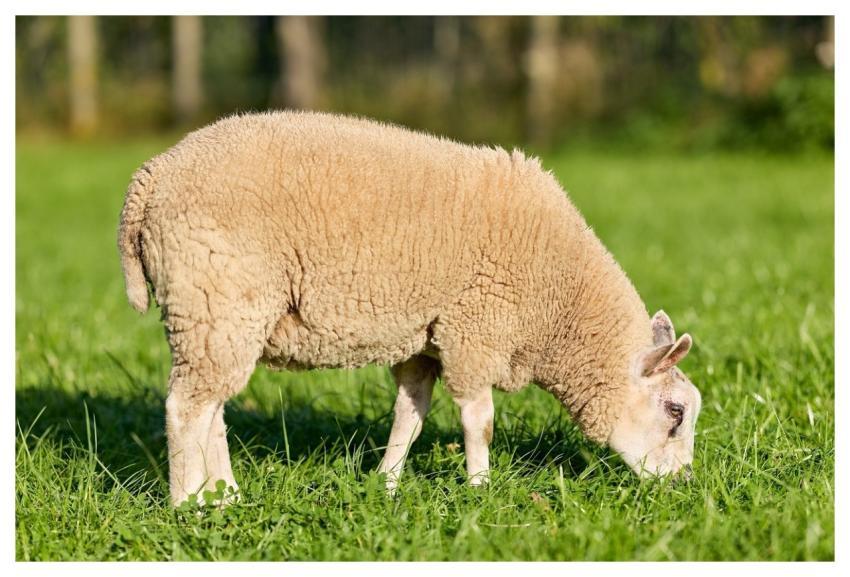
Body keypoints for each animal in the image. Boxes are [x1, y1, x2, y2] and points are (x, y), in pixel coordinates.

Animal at [118, 110, 702, 505]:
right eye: (675, 413)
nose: (685, 486)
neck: (560, 311)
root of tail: (149, 178)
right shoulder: (474, 328)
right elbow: (479, 421)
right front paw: (481, 489)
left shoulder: (425, 339)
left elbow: (410, 416)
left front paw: (388, 484)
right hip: (215, 296)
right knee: (187, 408)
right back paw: (189, 505)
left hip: (218, 314)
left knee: (211, 407)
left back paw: (227, 497)